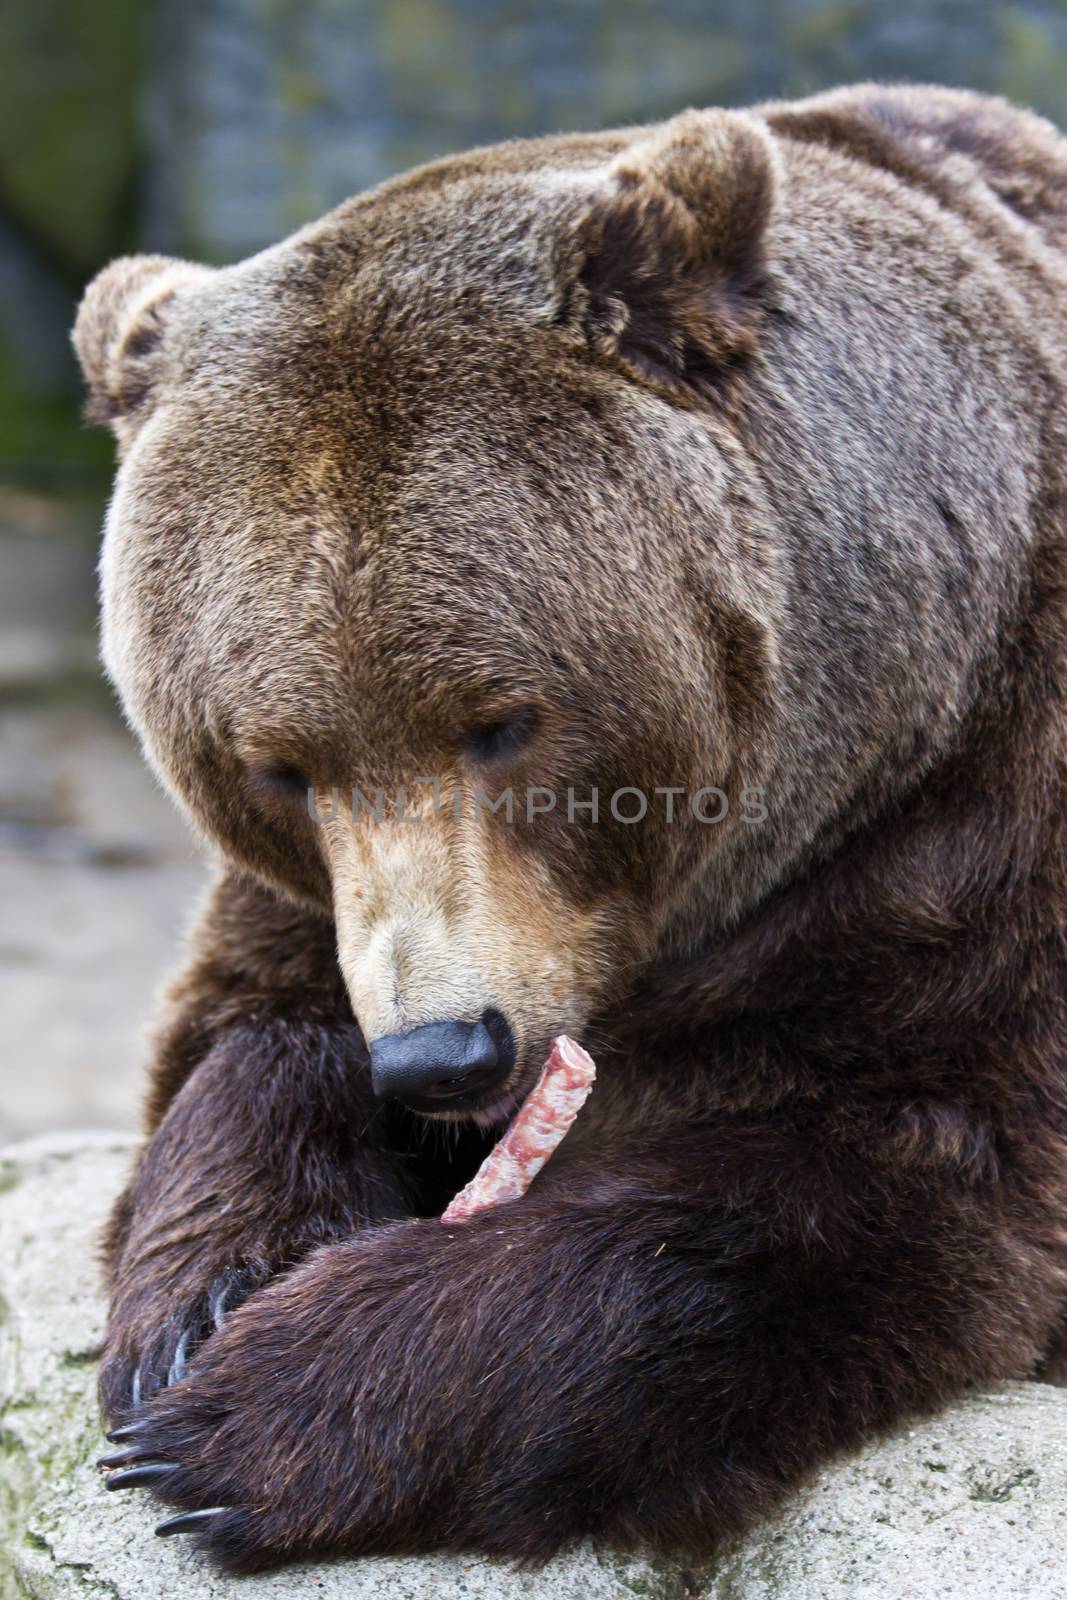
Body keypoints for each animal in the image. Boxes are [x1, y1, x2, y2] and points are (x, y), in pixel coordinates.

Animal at [73, 81, 1067, 1568]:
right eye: (278, 766)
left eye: (502, 719)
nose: (444, 1053)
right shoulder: (309, 906)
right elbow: (229, 1041)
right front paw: (202, 1308)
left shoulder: (974, 845)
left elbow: (881, 1184)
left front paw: (261, 1411)